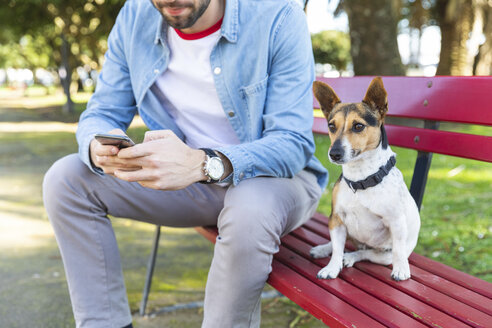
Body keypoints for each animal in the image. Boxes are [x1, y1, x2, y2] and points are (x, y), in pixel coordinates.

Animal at [312, 77, 418, 282]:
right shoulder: (336, 218)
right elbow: (337, 249)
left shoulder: (396, 222)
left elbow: (398, 251)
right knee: (339, 245)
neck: (361, 178)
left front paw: (401, 268)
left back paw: (351, 257)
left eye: (358, 126)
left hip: (383, 255)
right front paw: (332, 267)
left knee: (367, 253)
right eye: (331, 126)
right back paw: (323, 249)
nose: (334, 153)